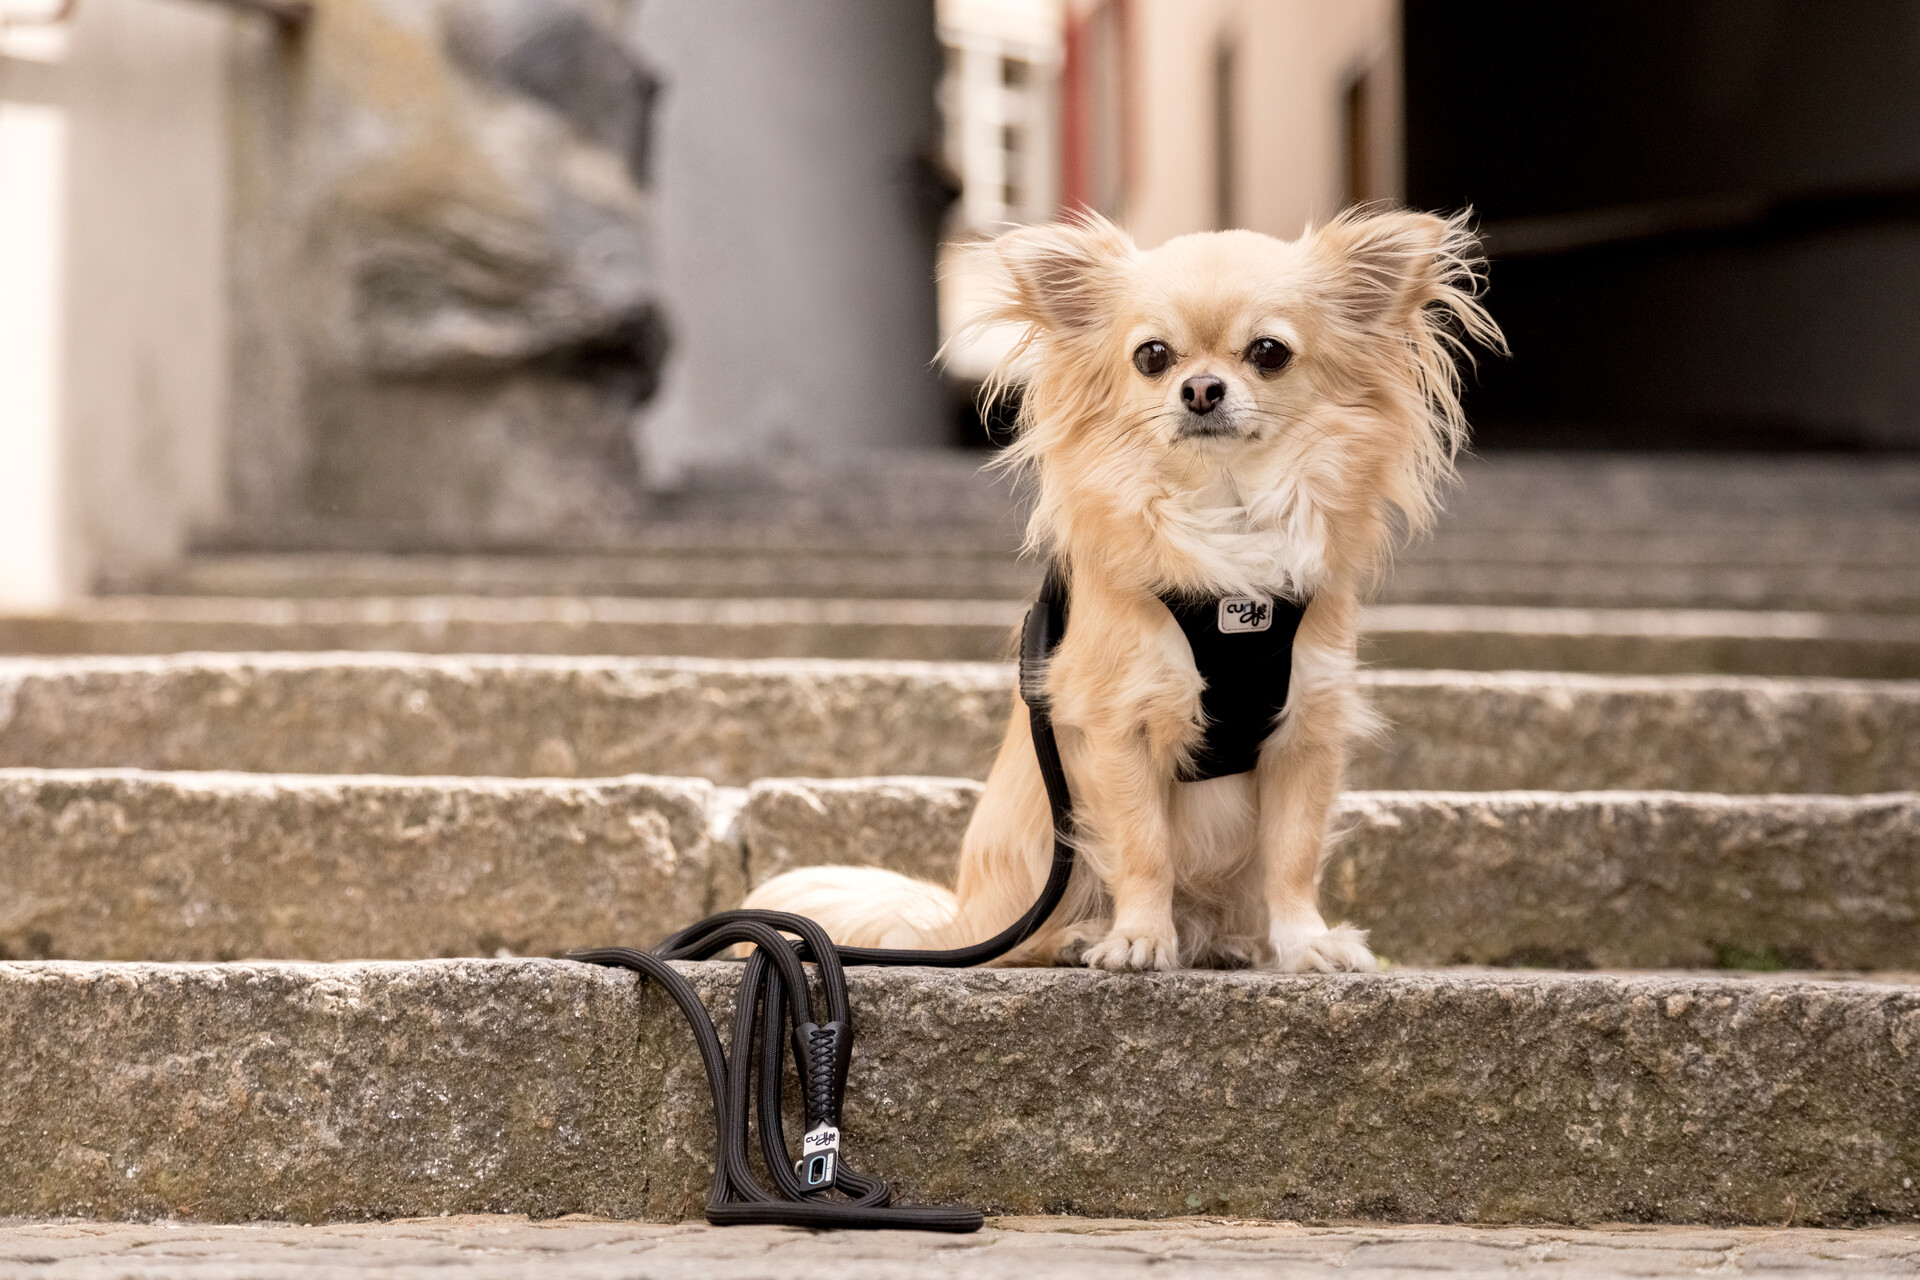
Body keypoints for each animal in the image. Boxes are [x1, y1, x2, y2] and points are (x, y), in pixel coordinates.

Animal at [742, 206, 1502, 972]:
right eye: (1153, 356)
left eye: (1269, 352)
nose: (1201, 389)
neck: (1225, 514)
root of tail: (959, 924)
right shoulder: (1119, 728)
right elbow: (1145, 849)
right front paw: (1138, 937)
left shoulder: (1305, 730)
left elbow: (1292, 857)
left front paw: (1304, 942)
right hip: (1043, 853)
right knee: (1028, 938)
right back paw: (1079, 936)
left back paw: (1231, 942)